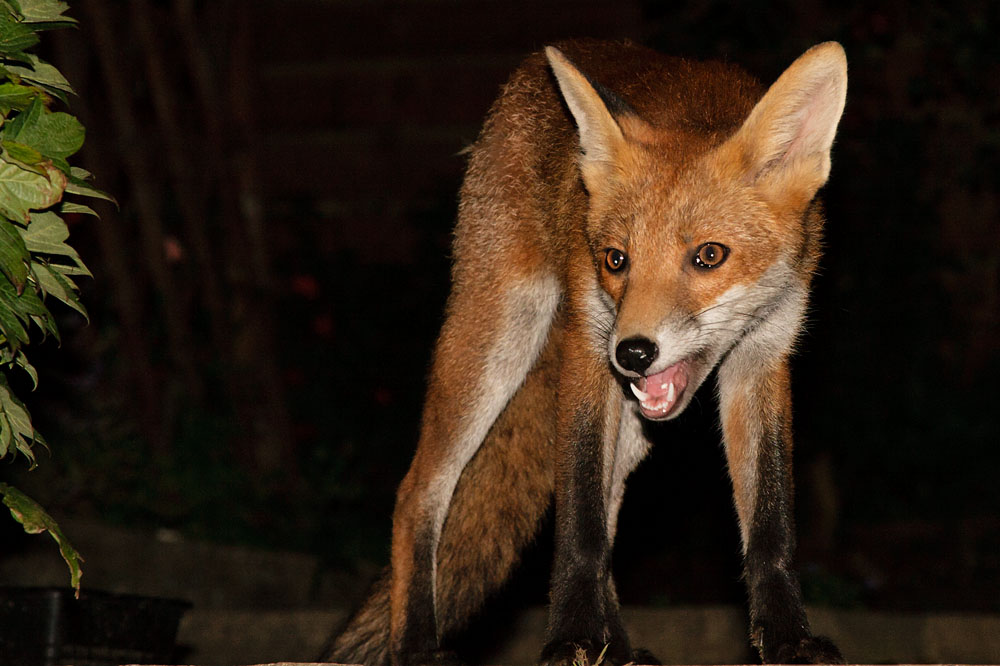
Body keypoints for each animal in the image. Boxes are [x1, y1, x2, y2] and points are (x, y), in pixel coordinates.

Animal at [322, 38, 848, 666]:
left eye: (709, 255)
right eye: (615, 260)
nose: (634, 353)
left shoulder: (764, 356)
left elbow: (770, 524)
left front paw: (789, 637)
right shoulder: (587, 347)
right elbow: (580, 520)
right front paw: (571, 636)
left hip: (630, 422)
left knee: (610, 497)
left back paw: (616, 647)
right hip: (500, 336)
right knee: (418, 493)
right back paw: (418, 645)